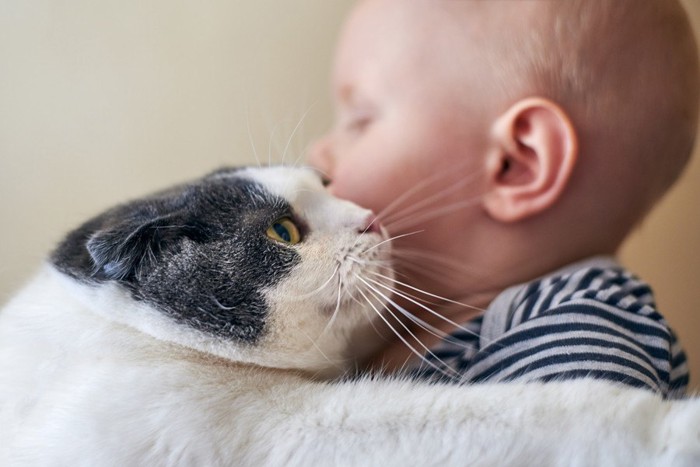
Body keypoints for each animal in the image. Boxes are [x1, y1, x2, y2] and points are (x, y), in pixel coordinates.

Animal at [1, 166, 700, 466]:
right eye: (283, 231)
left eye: (329, 183)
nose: (371, 217)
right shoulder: (284, 432)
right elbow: (527, 413)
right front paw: (671, 428)